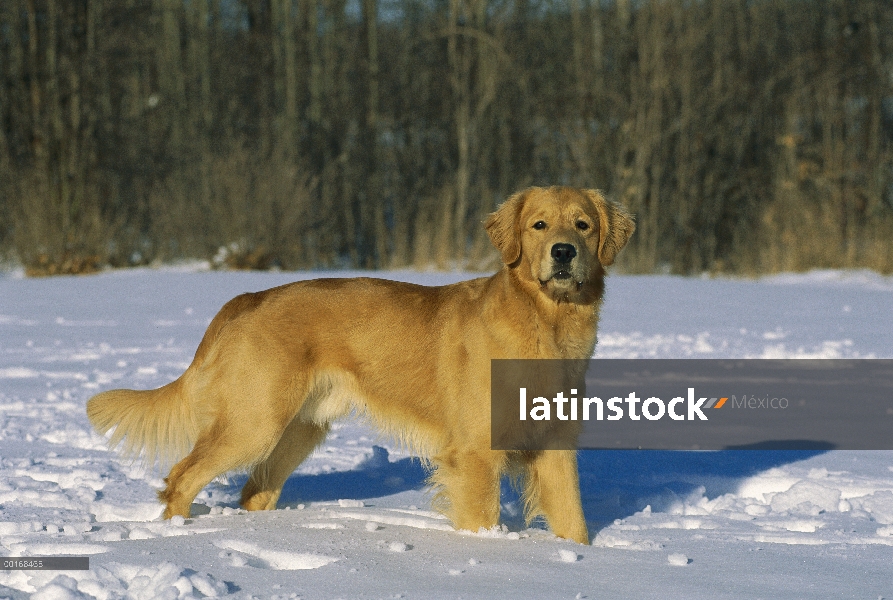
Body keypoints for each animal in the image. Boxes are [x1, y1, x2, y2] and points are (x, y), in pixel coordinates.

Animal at [87, 186, 636, 544]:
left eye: (583, 225)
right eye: (538, 225)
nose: (563, 252)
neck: (546, 323)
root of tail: (247, 297)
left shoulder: (555, 445)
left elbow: (574, 522)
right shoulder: (476, 451)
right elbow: (482, 515)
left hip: (299, 429)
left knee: (255, 490)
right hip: (254, 422)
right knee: (181, 475)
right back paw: (177, 533)